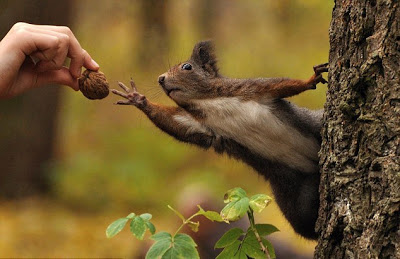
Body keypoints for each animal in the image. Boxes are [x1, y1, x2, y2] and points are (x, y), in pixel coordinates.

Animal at [113, 41, 328, 242]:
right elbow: (176, 124)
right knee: (305, 224)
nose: (160, 78)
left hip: (314, 126)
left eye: (187, 67)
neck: (207, 102)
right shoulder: (200, 125)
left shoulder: (252, 88)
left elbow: (283, 85)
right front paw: (138, 99)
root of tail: (313, 168)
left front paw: (310, 80)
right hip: (295, 196)